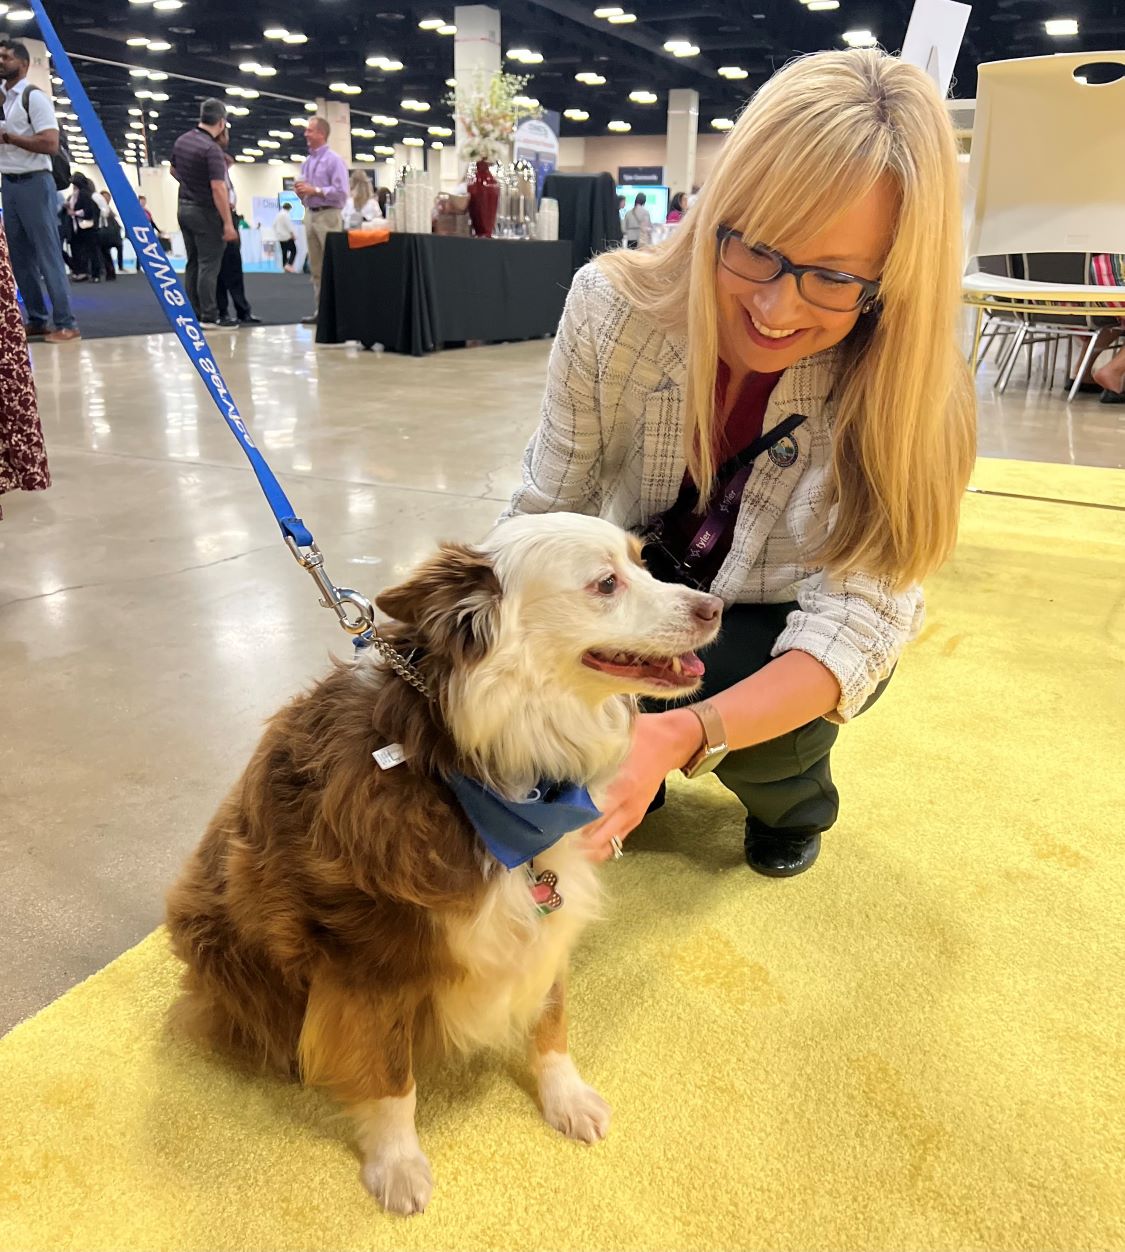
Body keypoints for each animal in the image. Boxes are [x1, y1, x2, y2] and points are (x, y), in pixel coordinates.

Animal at [168, 508, 720, 1211]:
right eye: (605, 584)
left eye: (644, 563)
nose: (716, 606)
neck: (482, 764)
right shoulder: (369, 956)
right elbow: (390, 1075)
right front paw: (397, 1165)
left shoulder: (546, 913)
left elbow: (551, 1019)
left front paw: (565, 1098)